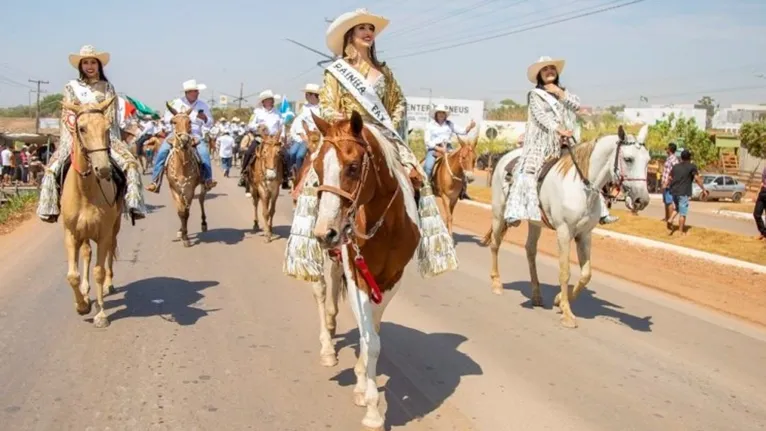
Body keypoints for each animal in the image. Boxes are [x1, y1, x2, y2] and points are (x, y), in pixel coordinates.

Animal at [60, 96, 124, 330]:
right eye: (81, 128)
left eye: (107, 128)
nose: (103, 170)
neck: (85, 192)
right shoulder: (70, 234)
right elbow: (72, 275)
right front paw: (82, 305)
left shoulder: (104, 233)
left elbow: (99, 271)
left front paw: (101, 314)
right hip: (84, 234)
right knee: (86, 253)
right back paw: (86, 293)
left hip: (114, 228)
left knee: (110, 253)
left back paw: (108, 285)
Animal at [164, 102, 207, 248]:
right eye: (173, 122)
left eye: (190, 122)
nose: (184, 140)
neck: (182, 167)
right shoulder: (174, 189)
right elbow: (180, 212)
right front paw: (182, 234)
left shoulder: (189, 190)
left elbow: (186, 212)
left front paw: (186, 236)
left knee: (201, 200)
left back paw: (204, 223)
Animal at [310, 112, 420, 431]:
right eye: (318, 167)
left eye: (353, 167)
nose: (325, 233)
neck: (387, 227)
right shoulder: (357, 275)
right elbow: (371, 340)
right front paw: (373, 409)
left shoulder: (392, 280)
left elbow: (372, 332)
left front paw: (361, 381)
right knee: (321, 292)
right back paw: (327, 347)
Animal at [484, 126, 652, 330]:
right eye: (628, 159)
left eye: (648, 160)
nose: (642, 200)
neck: (580, 188)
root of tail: (505, 158)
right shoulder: (564, 232)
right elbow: (565, 272)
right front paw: (566, 313)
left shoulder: (585, 234)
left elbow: (586, 274)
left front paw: (558, 299)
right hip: (498, 213)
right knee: (495, 244)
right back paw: (497, 284)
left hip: (535, 223)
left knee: (530, 251)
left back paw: (537, 295)